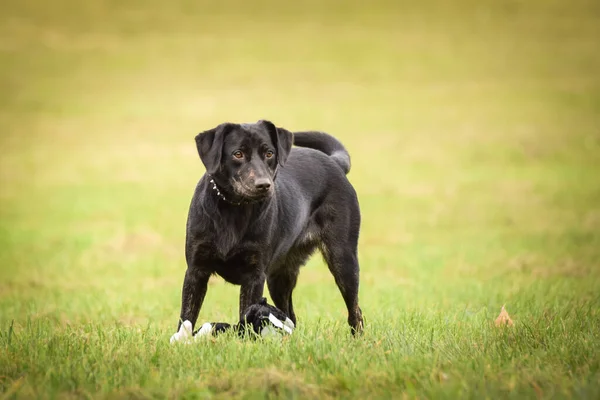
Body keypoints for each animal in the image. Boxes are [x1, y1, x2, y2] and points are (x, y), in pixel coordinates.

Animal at [171, 120, 364, 336]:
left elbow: (246, 313)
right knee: (291, 316)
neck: (234, 210)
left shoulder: (254, 276)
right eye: (238, 154)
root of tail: (335, 162)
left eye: (270, 153)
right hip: (279, 277)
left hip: (343, 260)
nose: (263, 184)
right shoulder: (196, 270)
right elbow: (186, 316)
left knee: (355, 311)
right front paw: (183, 338)